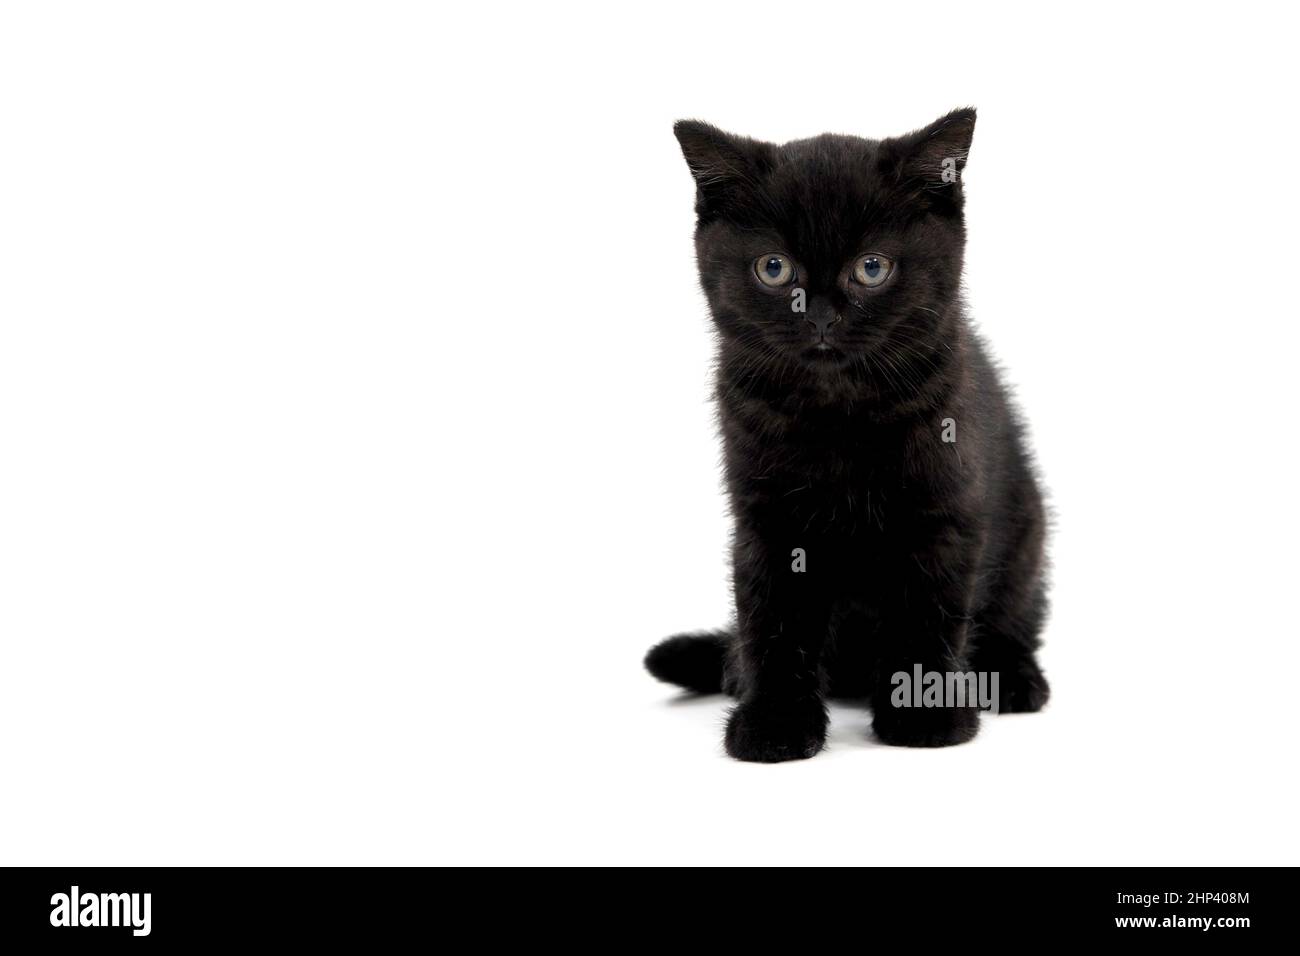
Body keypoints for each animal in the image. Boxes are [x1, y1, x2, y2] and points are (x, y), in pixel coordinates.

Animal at [644, 110, 1050, 764]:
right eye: (774, 268)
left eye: (872, 268)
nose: (821, 317)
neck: (838, 415)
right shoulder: (769, 519)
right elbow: (773, 620)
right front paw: (774, 723)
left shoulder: (944, 507)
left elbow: (928, 608)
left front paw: (925, 715)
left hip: (1029, 531)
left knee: (1017, 612)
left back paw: (1012, 677)